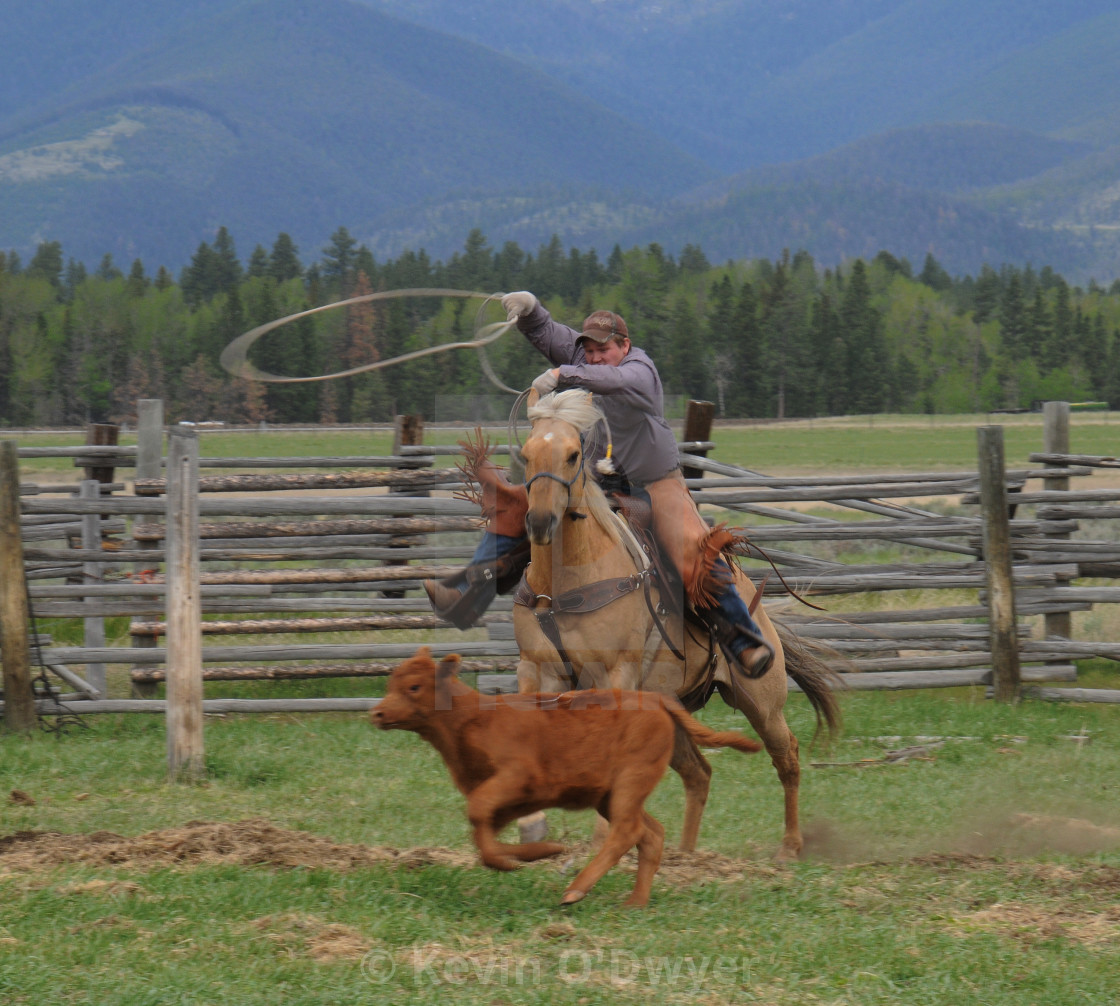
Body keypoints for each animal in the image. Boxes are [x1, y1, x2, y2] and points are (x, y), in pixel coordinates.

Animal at [369, 645, 761, 905]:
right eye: (391, 683)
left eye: (414, 687)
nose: (377, 713)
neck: (472, 720)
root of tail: (655, 699)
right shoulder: (503, 801)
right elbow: (483, 835)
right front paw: (537, 852)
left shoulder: (516, 778)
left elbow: (478, 813)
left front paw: (527, 857)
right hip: (609, 795)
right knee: (651, 833)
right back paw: (635, 901)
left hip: (631, 781)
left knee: (628, 831)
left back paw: (576, 890)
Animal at [508, 387, 842, 860]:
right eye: (527, 453)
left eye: (573, 455)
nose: (540, 522)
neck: (567, 582)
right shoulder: (535, 669)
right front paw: (532, 826)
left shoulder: (616, 674)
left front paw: (601, 843)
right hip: (672, 708)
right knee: (699, 773)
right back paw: (685, 856)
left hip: (762, 700)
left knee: (787, 755)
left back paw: (790, 847)